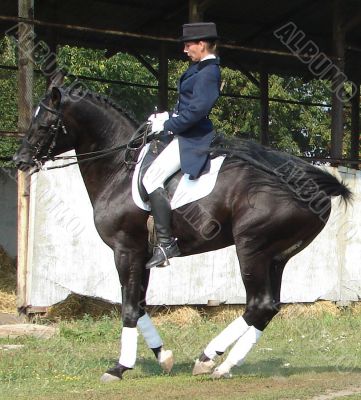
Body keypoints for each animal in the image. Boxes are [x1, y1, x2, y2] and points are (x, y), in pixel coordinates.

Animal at [13, 83, 348, 382]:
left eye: (44, 124)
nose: (19, 161)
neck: (119, 169)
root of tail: (311, 185)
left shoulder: (125, 250)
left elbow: (129, 307)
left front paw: (119, 368)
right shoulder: (141, 255)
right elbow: (138, 304)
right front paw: (163, 357)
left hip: (251, 248)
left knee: (259, 304)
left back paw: (208, 359)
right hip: (276, 257)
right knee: (268, 308)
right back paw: (224, 366)